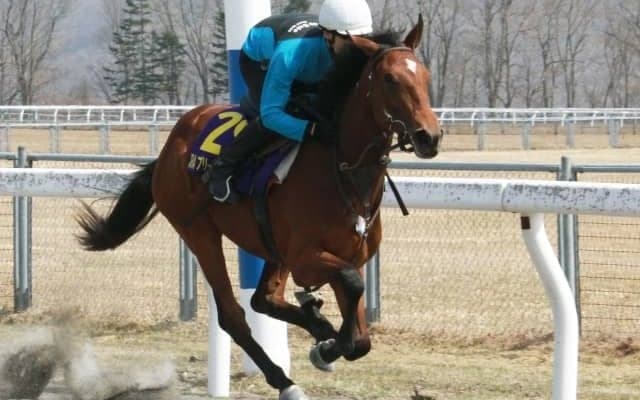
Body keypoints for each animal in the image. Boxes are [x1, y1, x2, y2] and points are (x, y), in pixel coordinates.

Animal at [75, 15, 441, 400]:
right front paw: (328, 345)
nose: (429, 137)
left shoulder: (348, 256)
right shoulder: (306, 257)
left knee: (263, 299)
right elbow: (353, 292)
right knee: (233, 314)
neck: (343, 171)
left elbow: (361, 336)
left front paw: (327, 339)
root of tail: (168, 148)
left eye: (425, 76)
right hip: (198, 231)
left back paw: (316, 322)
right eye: (389, 79)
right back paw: (285, 379)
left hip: (270, 246)